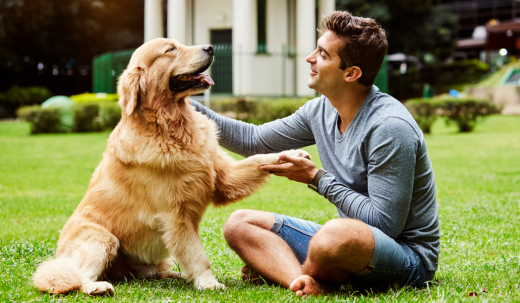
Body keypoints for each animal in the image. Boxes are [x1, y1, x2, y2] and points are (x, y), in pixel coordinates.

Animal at [32, 38, 308, 296]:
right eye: (170, 49)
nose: (210, 47)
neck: (172, 126)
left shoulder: (222, 178)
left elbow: (258, 158)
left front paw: (291, 154)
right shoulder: (176, 215)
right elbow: (196, 253)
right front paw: (208, 282)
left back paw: (169, 274)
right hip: (102, 237)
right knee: (76, 275)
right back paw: (97, 286)